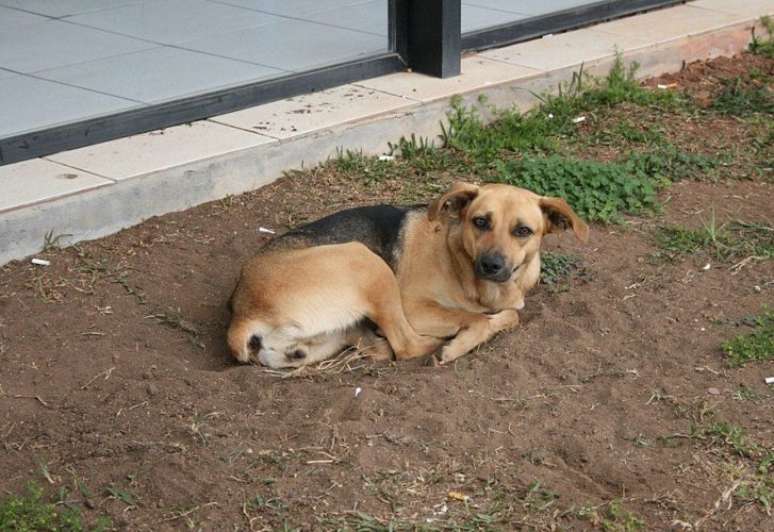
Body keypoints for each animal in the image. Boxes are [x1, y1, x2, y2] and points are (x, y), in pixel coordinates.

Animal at [227, 181, 592, 368]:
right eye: (480, 222)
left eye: (523, 231)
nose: (491, 265)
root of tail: (242, 312)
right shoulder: (416, 307)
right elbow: (476, 319)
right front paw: (457, 345)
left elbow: (511, 316)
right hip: (367, 262)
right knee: (406, 345)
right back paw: (438, 343)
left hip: (321, 339)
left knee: (377, 347)